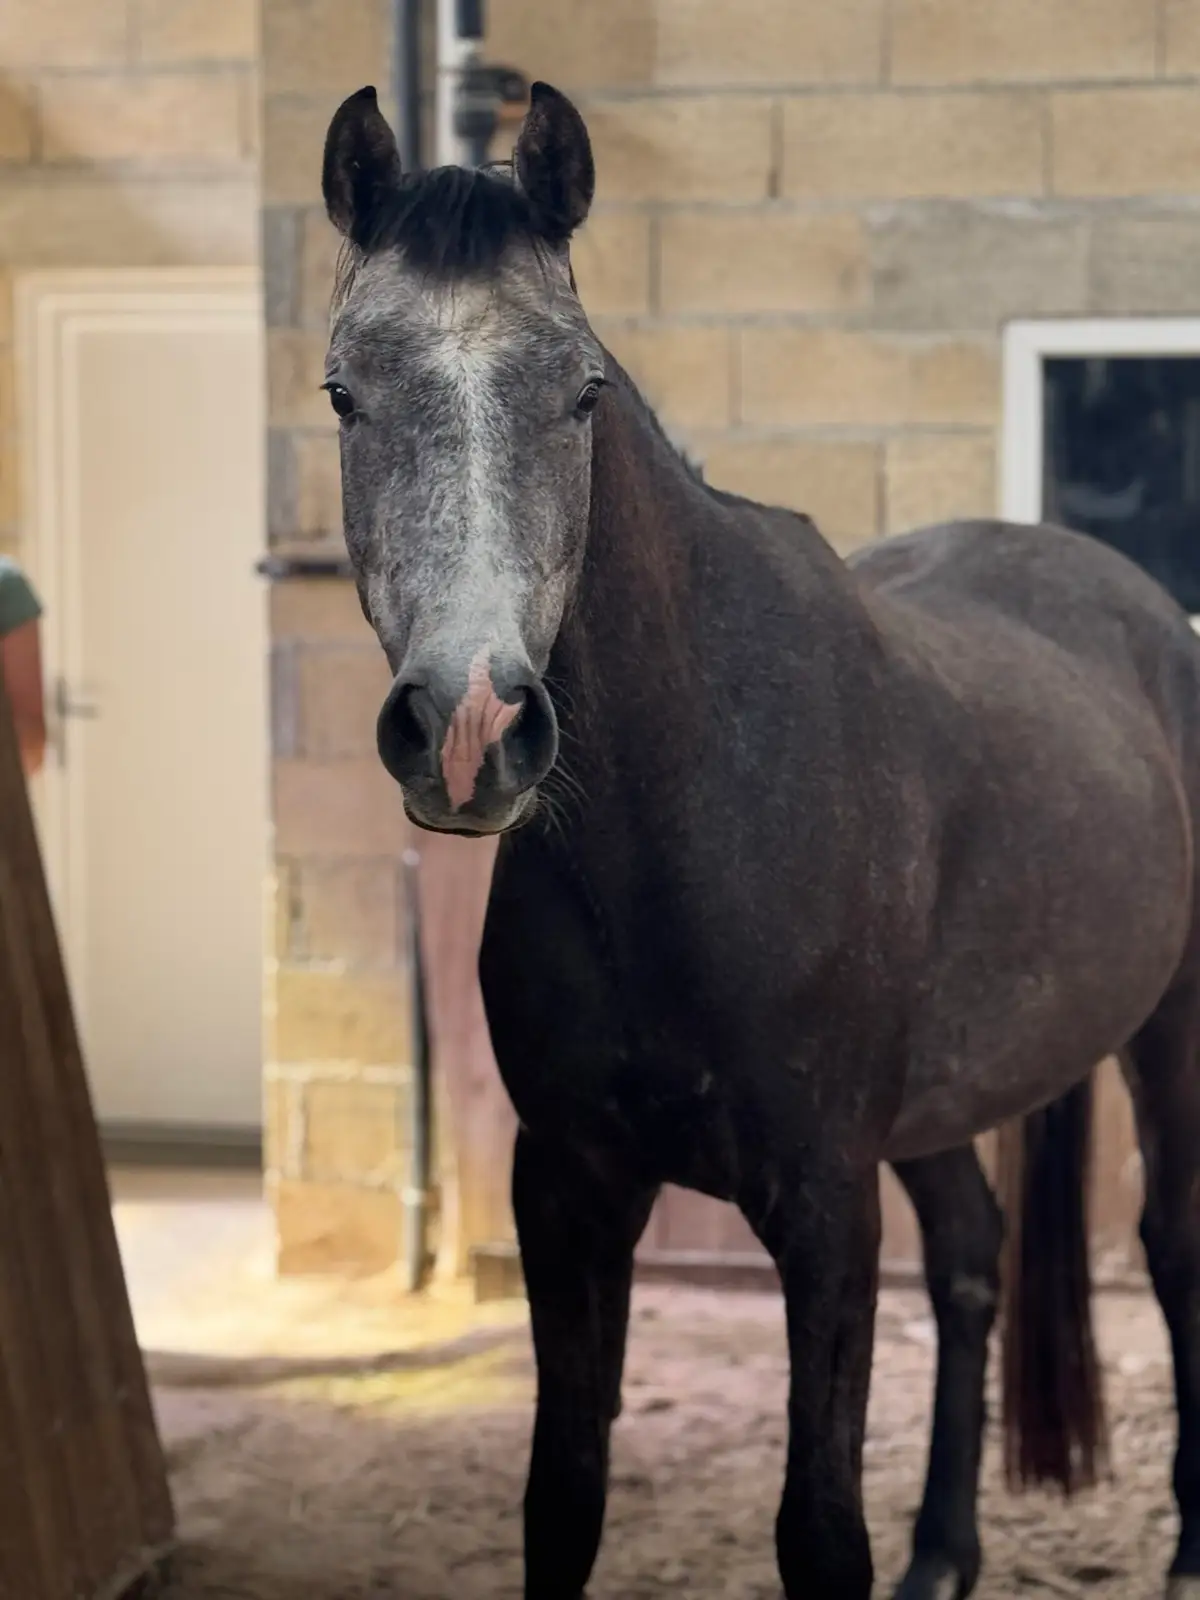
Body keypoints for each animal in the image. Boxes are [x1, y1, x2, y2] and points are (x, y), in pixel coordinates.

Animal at [318, 79, 1200, 1600]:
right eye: (343, 391)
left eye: (583, 391)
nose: (471, 721)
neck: (692, 814)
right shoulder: (569, 1186)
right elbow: (563, 1494)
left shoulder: (824, 1206)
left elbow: (818, 1529)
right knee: (972, 1258)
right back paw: (945, 1554)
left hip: (1171, 1032)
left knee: (1176, 1245)